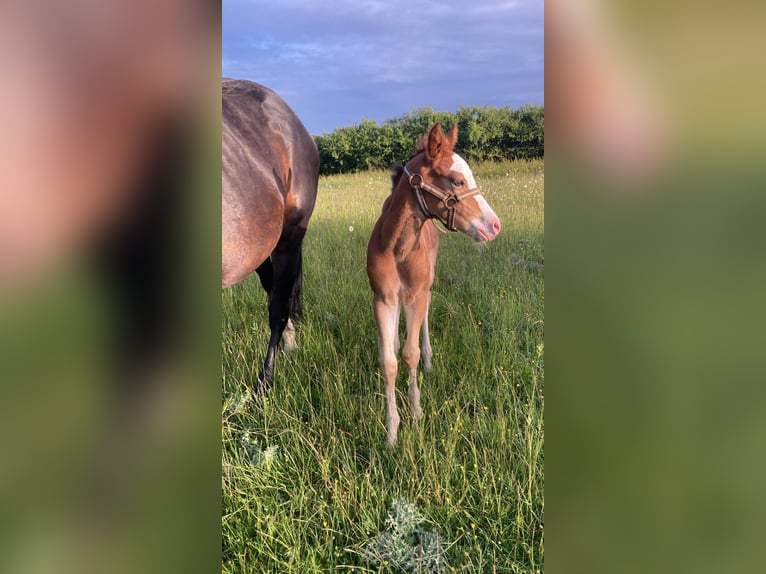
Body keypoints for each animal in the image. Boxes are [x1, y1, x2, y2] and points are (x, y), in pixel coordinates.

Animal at [366, 123, 502, 445]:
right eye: (456, 180)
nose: (495, 225)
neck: (397, 247)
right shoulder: (383, 298)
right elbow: (389, 361)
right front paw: (391, 432)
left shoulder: (416, 295)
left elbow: (411, 354)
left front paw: (416, 411)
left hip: (426, 287)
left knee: (425, 319)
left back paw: (428, 362)